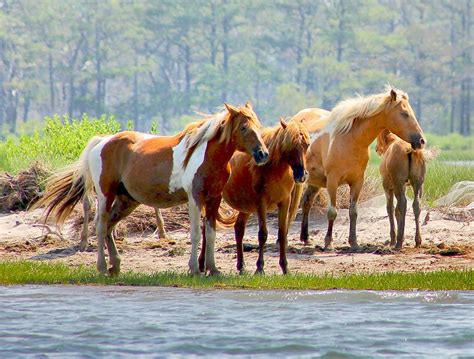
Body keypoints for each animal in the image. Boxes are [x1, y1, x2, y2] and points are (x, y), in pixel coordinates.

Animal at [35, 102, 268, 278]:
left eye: (258, 125)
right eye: (244, 127)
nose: (263, 154)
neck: (204, 155)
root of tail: (102, 141)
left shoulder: (213, 199)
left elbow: (210, 234)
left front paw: (213, 269)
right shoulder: (195, 199)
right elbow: (195, 234)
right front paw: (194, 270)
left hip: (127, 200)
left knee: (109, 226)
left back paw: (115, 266)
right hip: (106, 195)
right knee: (100, 226)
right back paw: (102, 267)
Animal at [205, 119, 312, 274]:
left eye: (307, 145)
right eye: (290, 146)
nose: (301, 175)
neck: (274, 170)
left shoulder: (284, 202)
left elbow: (282, 234)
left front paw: (285, 267)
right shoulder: (261, 203)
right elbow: (263, 235)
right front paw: (260, 268)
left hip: (245, 208)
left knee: (239, 229)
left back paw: (241, 266)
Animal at [288, 87, 426, 250]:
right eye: (404, 113)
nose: (421, 141)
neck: (350, 139)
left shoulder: (357, 181)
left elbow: (353, 211)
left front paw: (354, 242)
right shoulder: (332, 181)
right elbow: (332, 212)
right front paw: (328, 243)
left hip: (314, 182)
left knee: (306, 203)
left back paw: (306, 238)